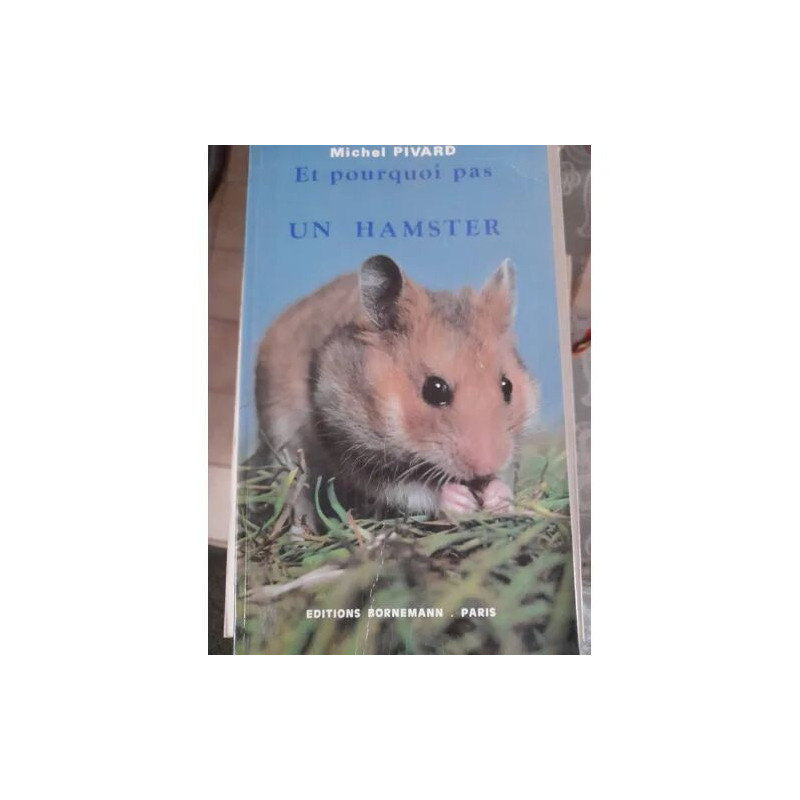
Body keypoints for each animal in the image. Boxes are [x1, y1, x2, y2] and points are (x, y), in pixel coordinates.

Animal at [255, 254, 538, 522]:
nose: (486, 465)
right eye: (435, 390)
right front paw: (460, 500)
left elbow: (503, 479)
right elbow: (407, 487)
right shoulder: (348, 444)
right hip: (283, 446)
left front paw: (497, 496)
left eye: (507, 386)